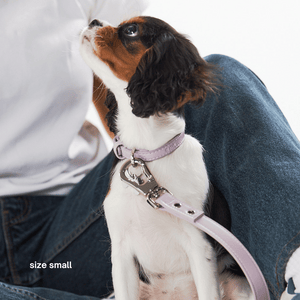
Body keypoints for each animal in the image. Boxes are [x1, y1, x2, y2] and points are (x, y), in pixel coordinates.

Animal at [79, 17, 253, 300]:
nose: (92, 20)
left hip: (238, 285)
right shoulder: (121, 252)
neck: (148, 155)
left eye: (131, 30)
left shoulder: (199, 244)